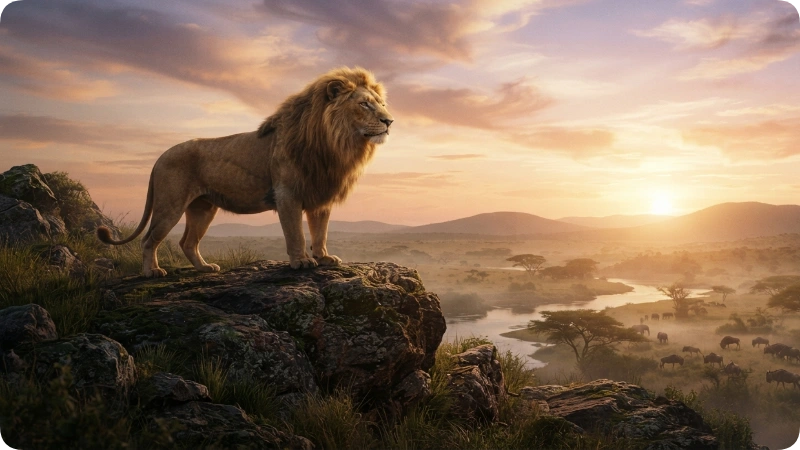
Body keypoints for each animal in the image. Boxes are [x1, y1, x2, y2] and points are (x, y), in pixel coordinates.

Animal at [97, 67, 393, 277]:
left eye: (382, 103)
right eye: (365, 104)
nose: (389, 121)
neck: (334, 144)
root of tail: (160, 157)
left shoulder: (320, 193)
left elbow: (321, 232)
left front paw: (324, 258)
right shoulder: (287, 194)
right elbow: (296, 233)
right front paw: (301, 261)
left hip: (203, 208)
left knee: (187, 242)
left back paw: (205, 268)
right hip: (170, 205)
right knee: (149, 240)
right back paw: (152, 272)